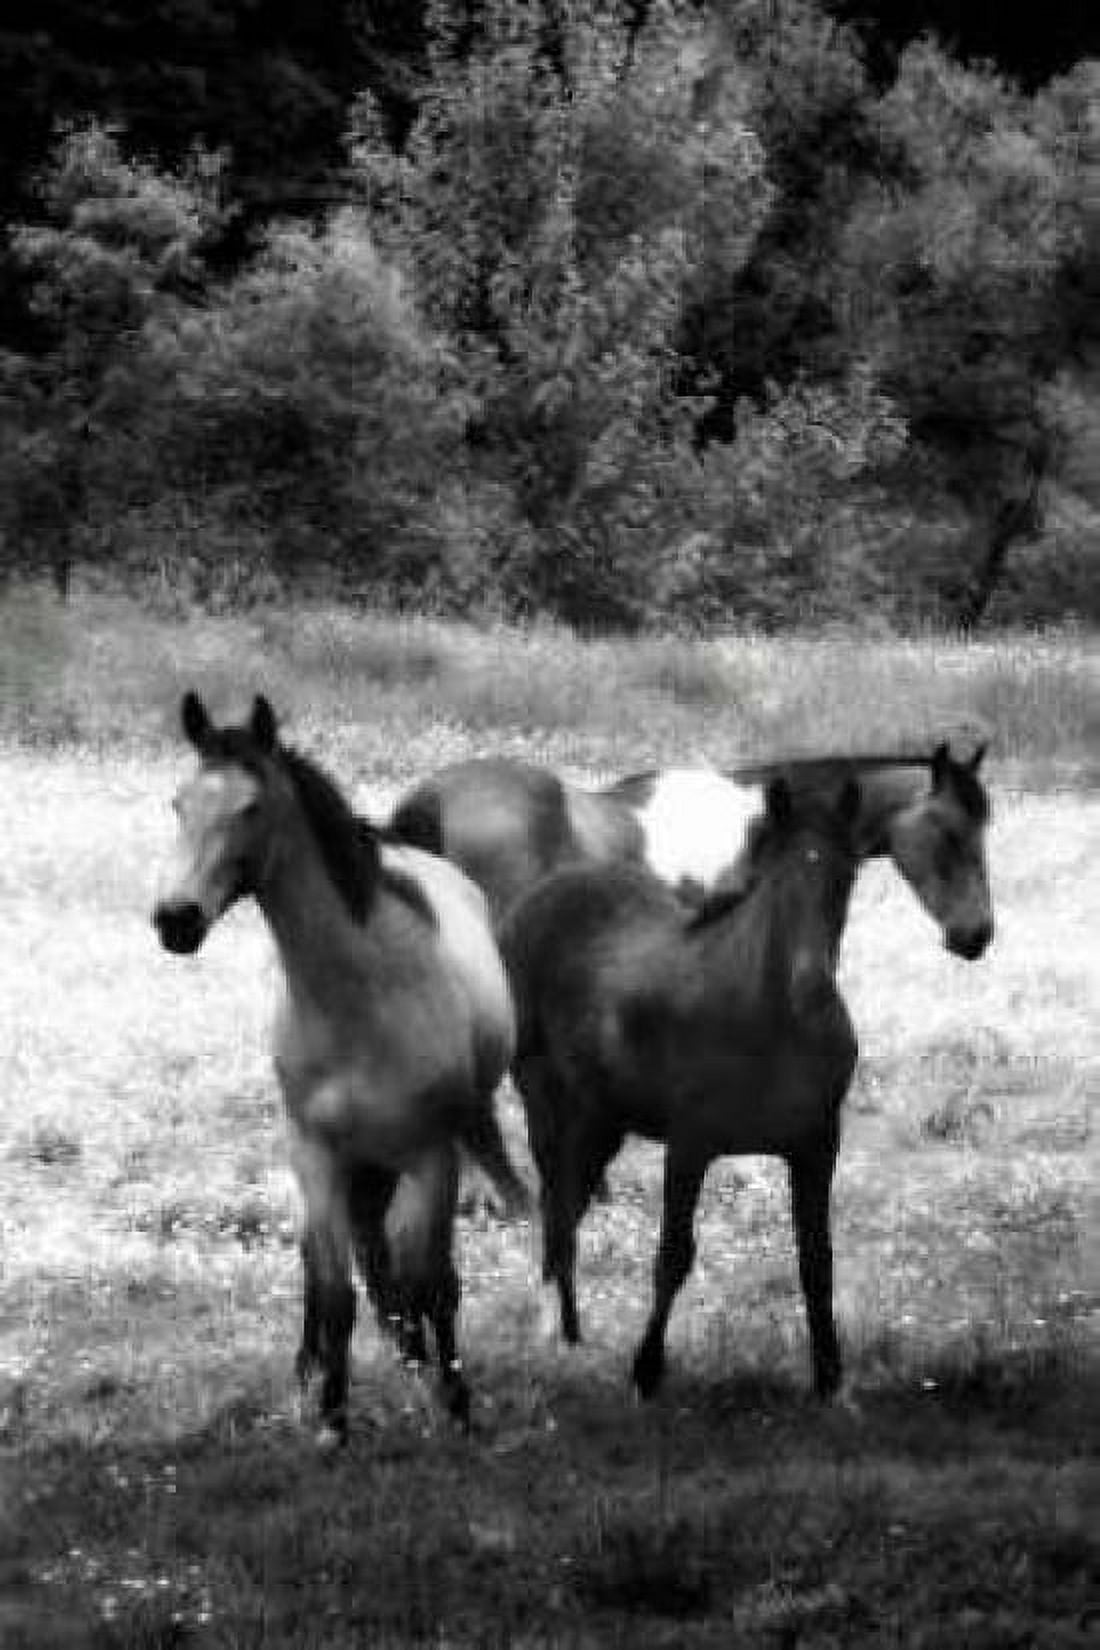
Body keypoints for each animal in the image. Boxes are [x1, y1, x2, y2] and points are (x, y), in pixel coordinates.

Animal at [153, 692, 528, 1445]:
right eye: (179, 802)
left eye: (250, 808)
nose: (176, 919)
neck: (363, 997)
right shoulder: (317, 1155)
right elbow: (332, 1293)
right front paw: (331, 1417)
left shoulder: (432, 1157)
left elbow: (435, 1283)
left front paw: (457, 1403)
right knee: (337, 1265)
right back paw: (317, 1372)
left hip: (395, 1164)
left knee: (399, 1270)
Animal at [499, 775, 863, 1401]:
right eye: (780, 882)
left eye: (845, 876)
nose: (812, 987)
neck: (766, 1024)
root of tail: (543, 894)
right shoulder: (691, 1146)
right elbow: (672, 1255)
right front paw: (646, 1369)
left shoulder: (816, 1148)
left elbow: (817, 1261)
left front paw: (829, 1380)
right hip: (546, 1100)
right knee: (555, 1207)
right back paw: (554, 1331)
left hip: (602, 1120)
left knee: (568, 1202)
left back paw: (570, 1330)